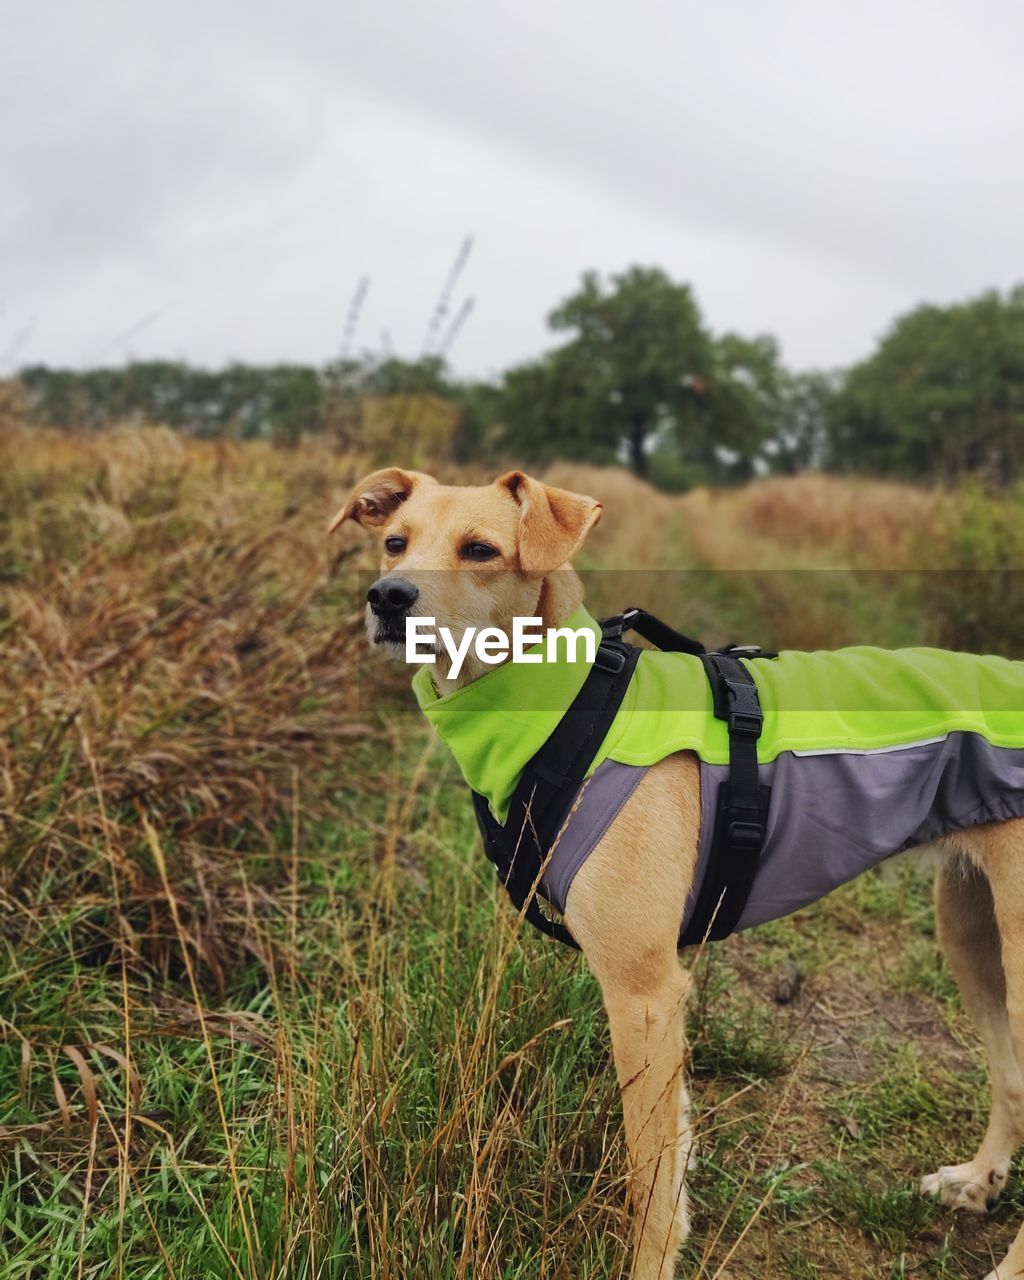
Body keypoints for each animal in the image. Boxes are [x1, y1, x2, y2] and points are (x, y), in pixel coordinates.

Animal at [332, 465, 1024, 1280]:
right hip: (972, 933)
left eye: (480, 549)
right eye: (393, 542)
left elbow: (650, 1186)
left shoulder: (642, 996)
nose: (389, 597)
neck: (568, 706)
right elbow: (674, 1159)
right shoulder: (660, 1006)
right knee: (1012, 1077)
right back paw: (978, 1181)